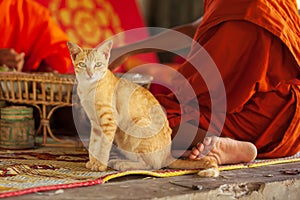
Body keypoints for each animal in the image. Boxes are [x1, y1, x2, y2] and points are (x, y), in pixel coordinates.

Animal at [67, 40, 219, 177]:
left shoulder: (109, 121)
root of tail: (168, 155)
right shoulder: (96, 124)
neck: (88, 88)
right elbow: (93, 144)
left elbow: (104, 146)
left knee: (151, 166)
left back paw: (123, 164)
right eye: (82, 64)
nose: (90, 74)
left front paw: (100, 165)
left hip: (137, 125)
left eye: (98, 65)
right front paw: (93, 162)